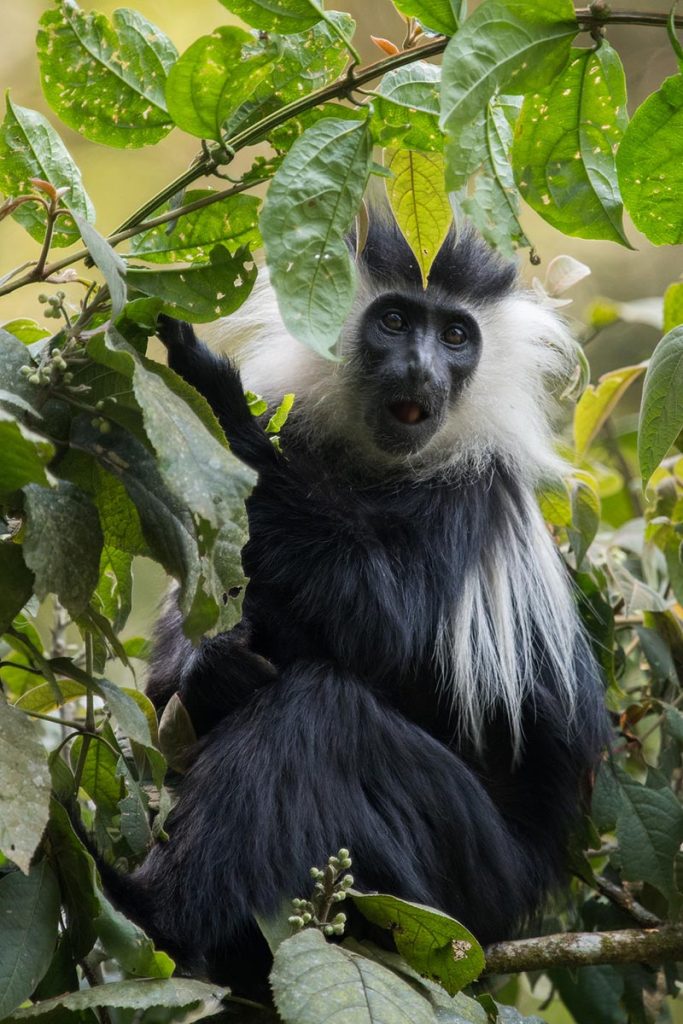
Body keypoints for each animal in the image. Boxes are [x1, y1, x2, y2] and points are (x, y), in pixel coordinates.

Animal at [102, 215, 607, 990]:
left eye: (455, 335)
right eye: (395, 321)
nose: (421, 369)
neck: (379, 469)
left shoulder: (472, 499)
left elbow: (395, 636)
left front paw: (215, 395)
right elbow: (165, 689)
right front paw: (211, 668)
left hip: (462, 877)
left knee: (323, 716)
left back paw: (150, 913)